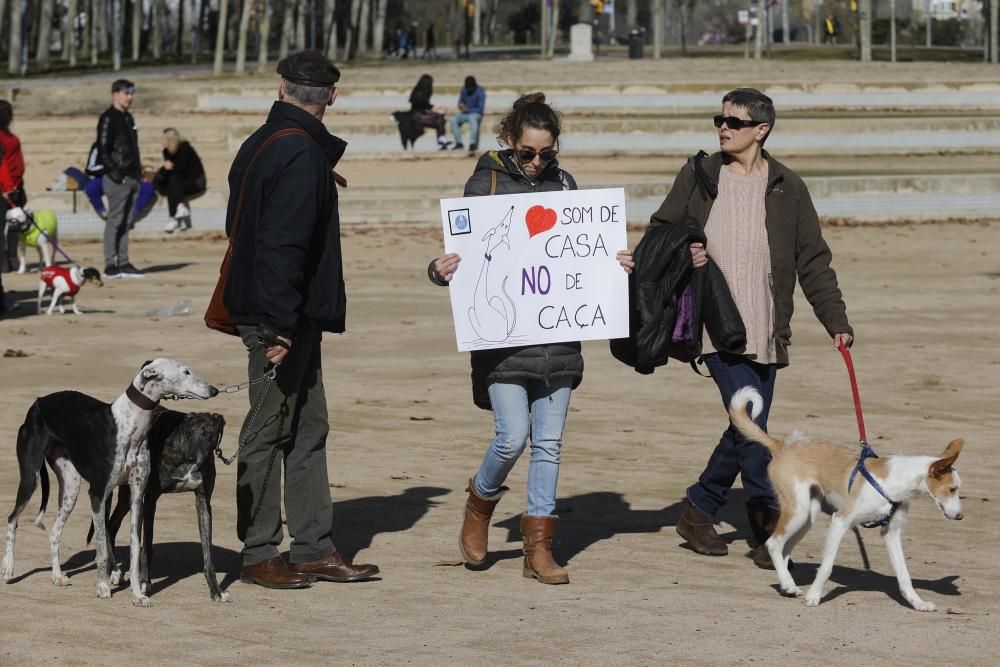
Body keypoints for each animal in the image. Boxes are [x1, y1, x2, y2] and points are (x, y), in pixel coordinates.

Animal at [732, 388, 964, 612]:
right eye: (952, 489)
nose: (961, 516)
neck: (894, 481)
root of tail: (782, 446)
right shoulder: (841, 520)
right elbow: (826, 566)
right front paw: (814, 596)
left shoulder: (891, 532)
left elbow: (904, 574)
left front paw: (918, 603)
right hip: (798, 510)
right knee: (773, 543)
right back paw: (788, 583)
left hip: (807, 516)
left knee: (785, 548)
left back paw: (787, 585)